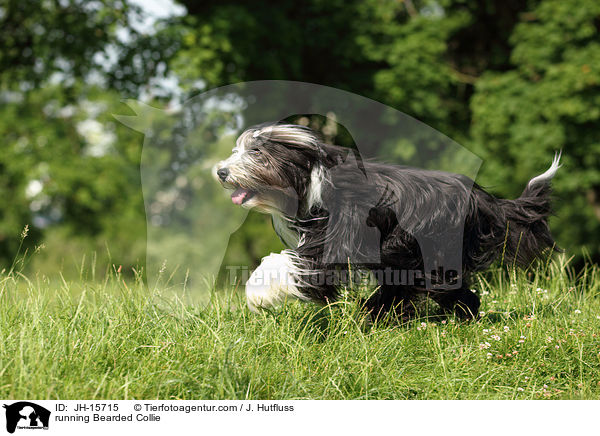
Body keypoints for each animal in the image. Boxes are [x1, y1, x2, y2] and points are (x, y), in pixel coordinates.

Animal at [214, 122, 556, 320]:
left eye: (256, 152)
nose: (221, 171)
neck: (311, 180)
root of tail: (482, 199)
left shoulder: (335, 239)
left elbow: (291, 264)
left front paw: (257, 295)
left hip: (429, 253)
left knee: (451, 291)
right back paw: (379, 314)